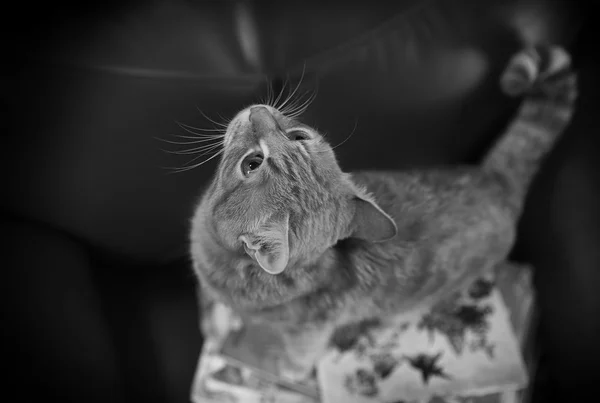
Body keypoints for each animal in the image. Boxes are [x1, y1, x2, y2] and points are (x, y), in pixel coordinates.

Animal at [190, 45, 580, 382]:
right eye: (254, 161)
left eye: (297, 137)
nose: (258, 111)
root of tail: (496, 179)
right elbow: (214, 309)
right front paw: (218, 326)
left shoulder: (310, 330)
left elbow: (299, 356)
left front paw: (285, 370)